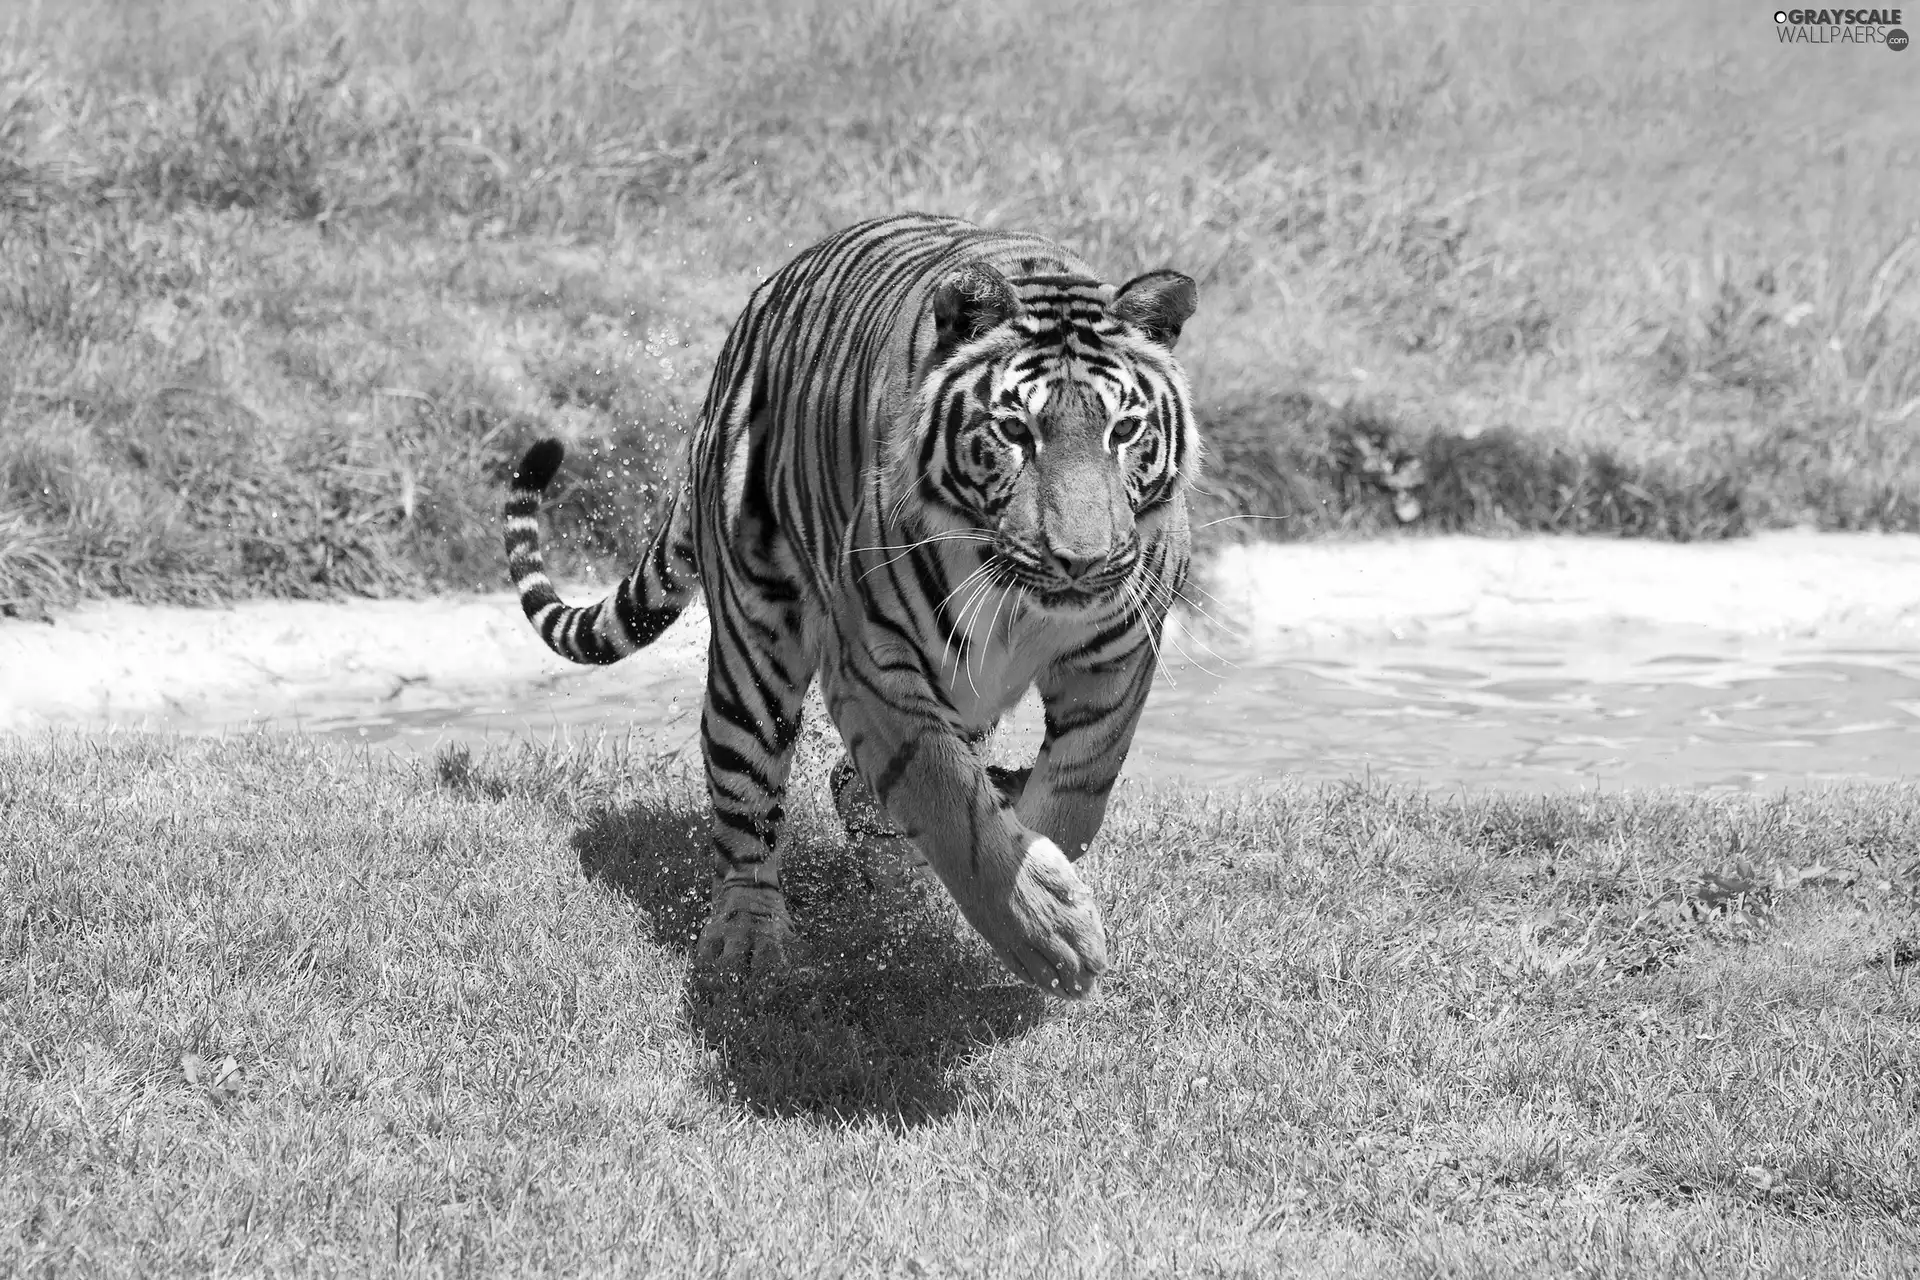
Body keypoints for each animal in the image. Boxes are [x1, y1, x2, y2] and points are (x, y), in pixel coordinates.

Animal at [503, 213, 1190, 997]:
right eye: (1016, 431)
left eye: (1124, 431)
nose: (1081, 562)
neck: (1027, 604)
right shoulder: (872, 662)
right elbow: (945, 799)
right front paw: (1053, 935)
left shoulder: (1121, 653)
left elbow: (1079, 793)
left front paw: (1045, 865)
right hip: (754, 648)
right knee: (747, 802)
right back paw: (749, 941)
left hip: (966, 690)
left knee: (856, 783)